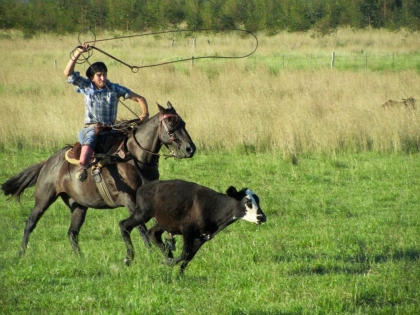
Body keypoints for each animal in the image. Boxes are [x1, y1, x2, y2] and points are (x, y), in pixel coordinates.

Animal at [0, 102, 195, 258]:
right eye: (171, 123)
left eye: (184, 123)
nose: (190, 148)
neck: (134, 159)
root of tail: (47, 163)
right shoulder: (129, 199)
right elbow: (141, 226)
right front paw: (152, 251)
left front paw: (166, 247)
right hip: (44, 198)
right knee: (30, 223)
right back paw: (21, 253)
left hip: (78, 206)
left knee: (72, 233)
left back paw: (81, 258)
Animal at [120, 180, 268, 274]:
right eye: (247, 201)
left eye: (258, 200)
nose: (262, 217)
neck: (213, 208)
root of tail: (143, 187)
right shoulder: (188, 230)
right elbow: (185, 253)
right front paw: (169, 264)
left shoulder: (203, 237)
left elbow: (188, 256)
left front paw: (179, 274)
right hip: (142, 213)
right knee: (124, 225)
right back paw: (128, 258)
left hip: (163, 222)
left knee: (152, 233)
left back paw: (167, 256)